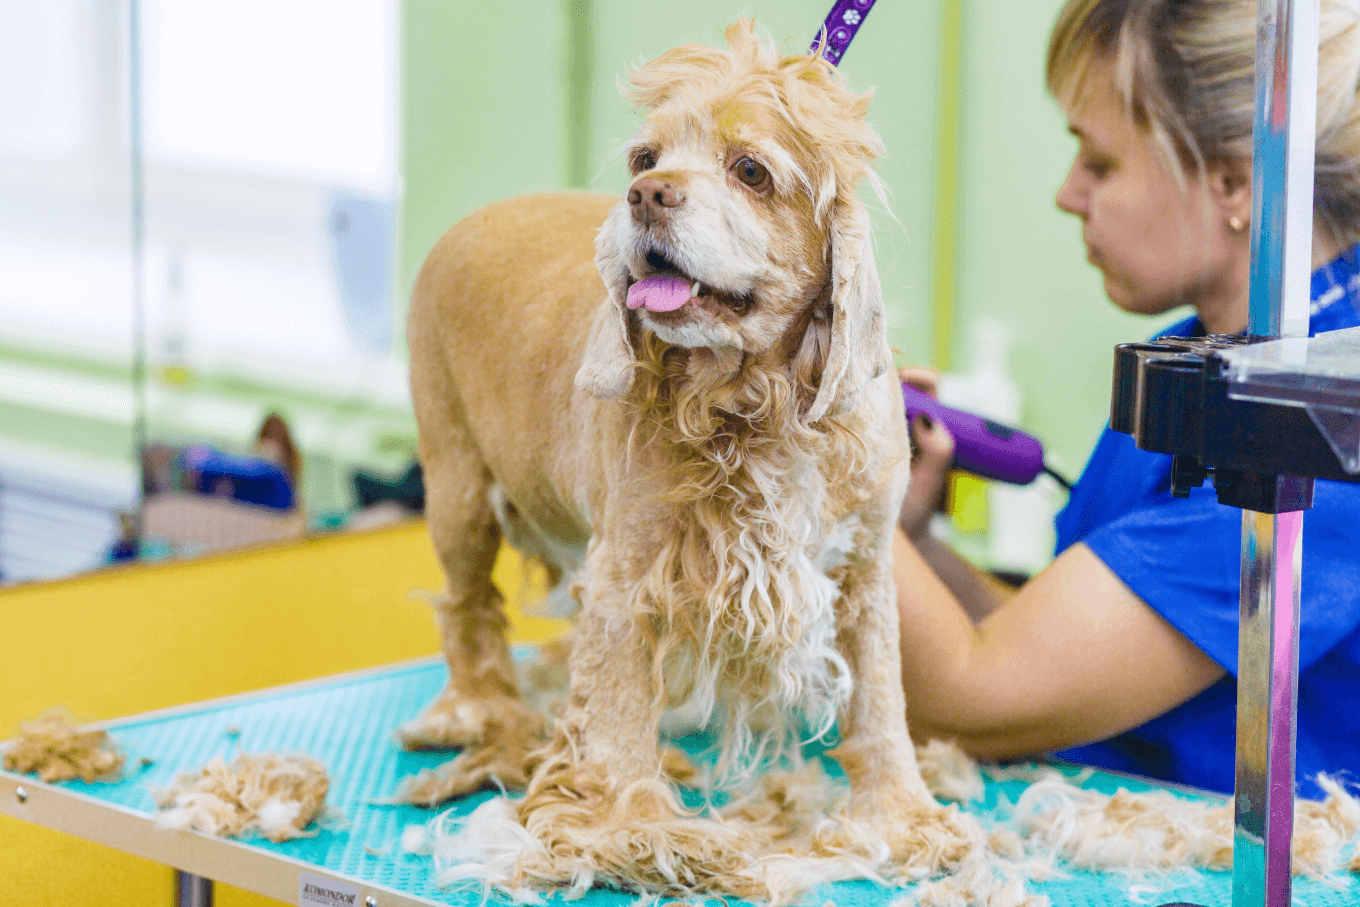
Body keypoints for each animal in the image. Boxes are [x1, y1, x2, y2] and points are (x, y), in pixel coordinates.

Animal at [397, 19, 973, 902]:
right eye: (645, 158)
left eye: (751, 171)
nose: (647, 195)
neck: (751, 403)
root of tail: (473, 217)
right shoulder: (625, 574)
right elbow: (617, 711)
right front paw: (635, 829)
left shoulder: (865, 572)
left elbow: (882, 701)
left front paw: (902, 815)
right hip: (456, 490)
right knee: (469, 608)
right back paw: (476, 714)